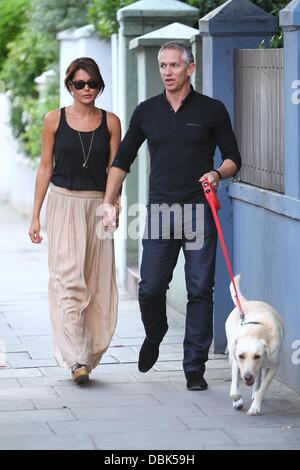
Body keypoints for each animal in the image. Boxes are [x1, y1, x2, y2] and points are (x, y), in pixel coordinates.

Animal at [226, 276, 284, 414]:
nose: (247, 377)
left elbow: (262, 389)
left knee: (258, 378)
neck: (256, 331)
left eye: (257, 356)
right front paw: (237, 400)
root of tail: (246, 302)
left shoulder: (273, 367)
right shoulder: (236, 362)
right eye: (241, 356)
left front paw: (255, 407)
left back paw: (254, 391)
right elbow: (234, 389)